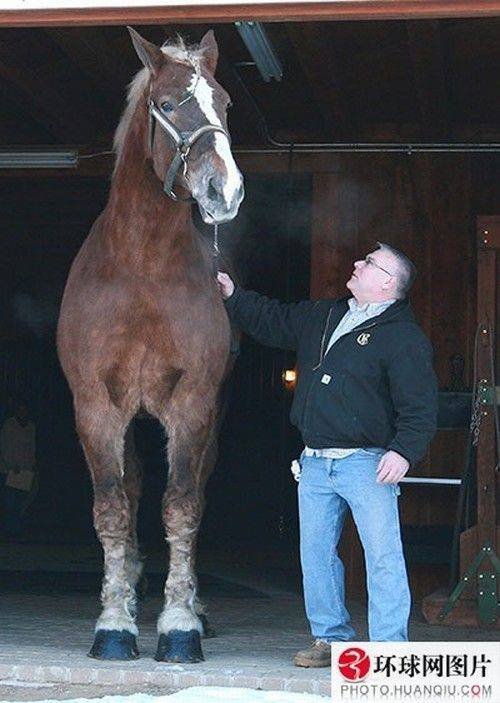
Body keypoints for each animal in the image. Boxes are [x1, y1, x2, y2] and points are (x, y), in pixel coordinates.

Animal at [57, 28, 244, 664]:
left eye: (224, 103)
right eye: (166, 104)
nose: (224, 191)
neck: (141, 266)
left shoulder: (192, 406)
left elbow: (182, 506)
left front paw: (180, 624)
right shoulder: (96, 407)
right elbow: (113, 508)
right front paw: (114, 623)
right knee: (133, 488)